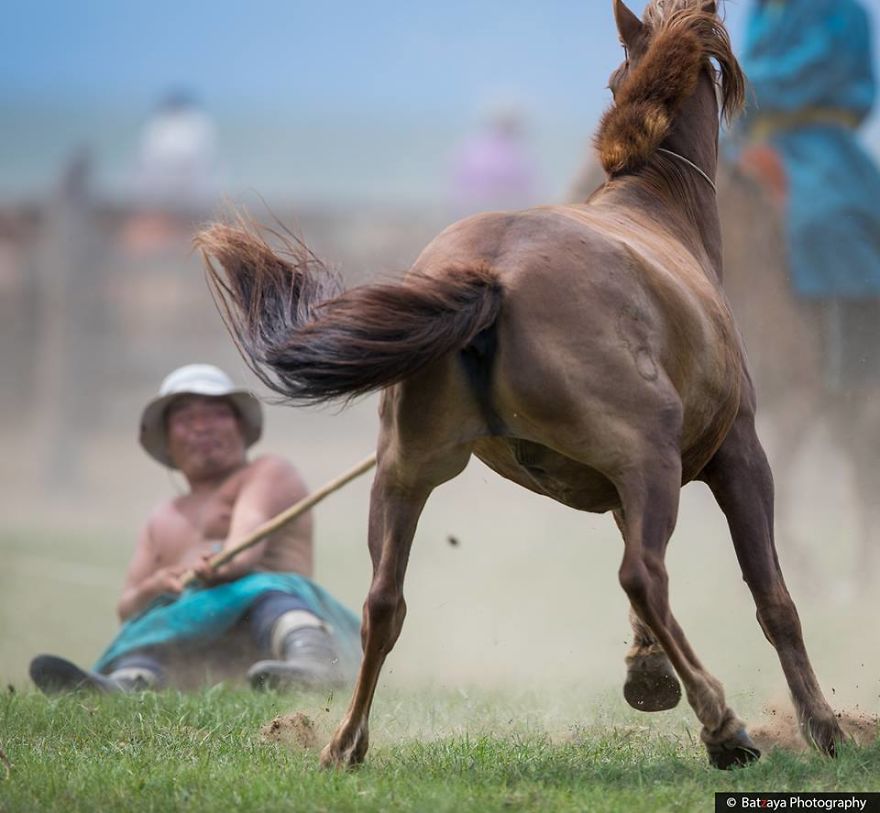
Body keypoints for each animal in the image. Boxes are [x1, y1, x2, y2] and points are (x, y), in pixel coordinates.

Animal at [196, 0, 844, 769]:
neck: (657, 209)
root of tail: (492, 272)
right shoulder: (739, 455)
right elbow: (773, 598)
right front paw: (822, 724)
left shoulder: (621, 486)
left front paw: (649, 674)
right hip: (647, 455)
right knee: (644, 574)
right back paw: (723, 725)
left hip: (405, 470)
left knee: (384, 602)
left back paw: (346, 741)